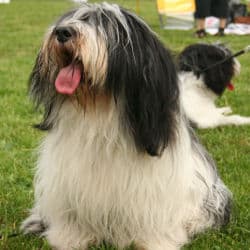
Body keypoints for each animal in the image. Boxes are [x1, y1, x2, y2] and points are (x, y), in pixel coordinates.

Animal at [21, 2, 230, 249]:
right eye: (73, 18)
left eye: (107, 25)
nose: (62, 32)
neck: (101, 112)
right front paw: (70, 238)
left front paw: (155, 242)